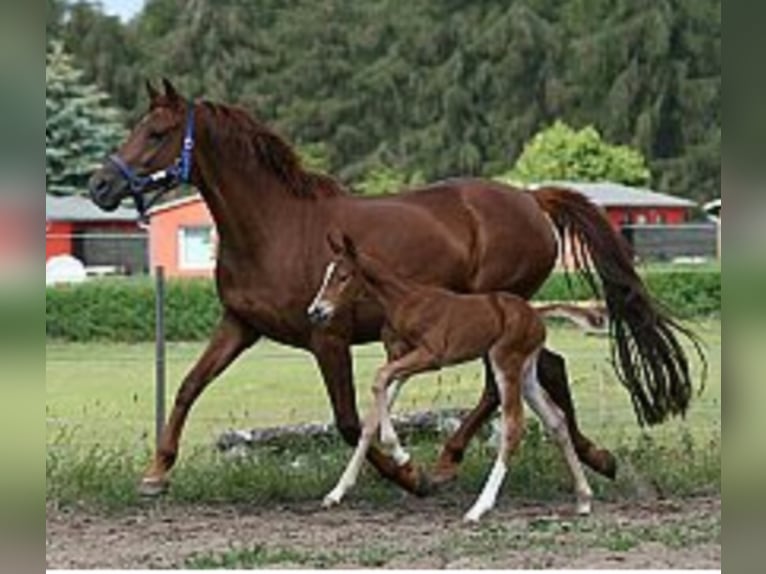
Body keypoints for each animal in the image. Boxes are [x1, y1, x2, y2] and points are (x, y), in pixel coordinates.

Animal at [309, 233, 594, 522]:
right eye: (326, 275)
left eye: (343, 276)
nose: (315, 311)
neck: (404, 301)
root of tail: (535, 314)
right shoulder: (400, 358)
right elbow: (371, 418)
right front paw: (336, 493)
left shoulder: (431, 356)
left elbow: (379, 379)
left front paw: (401, 455)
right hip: (526, 374)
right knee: (556, 421)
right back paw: (583, 499)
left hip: (505, 362)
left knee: (513, 427)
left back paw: (479, 508)